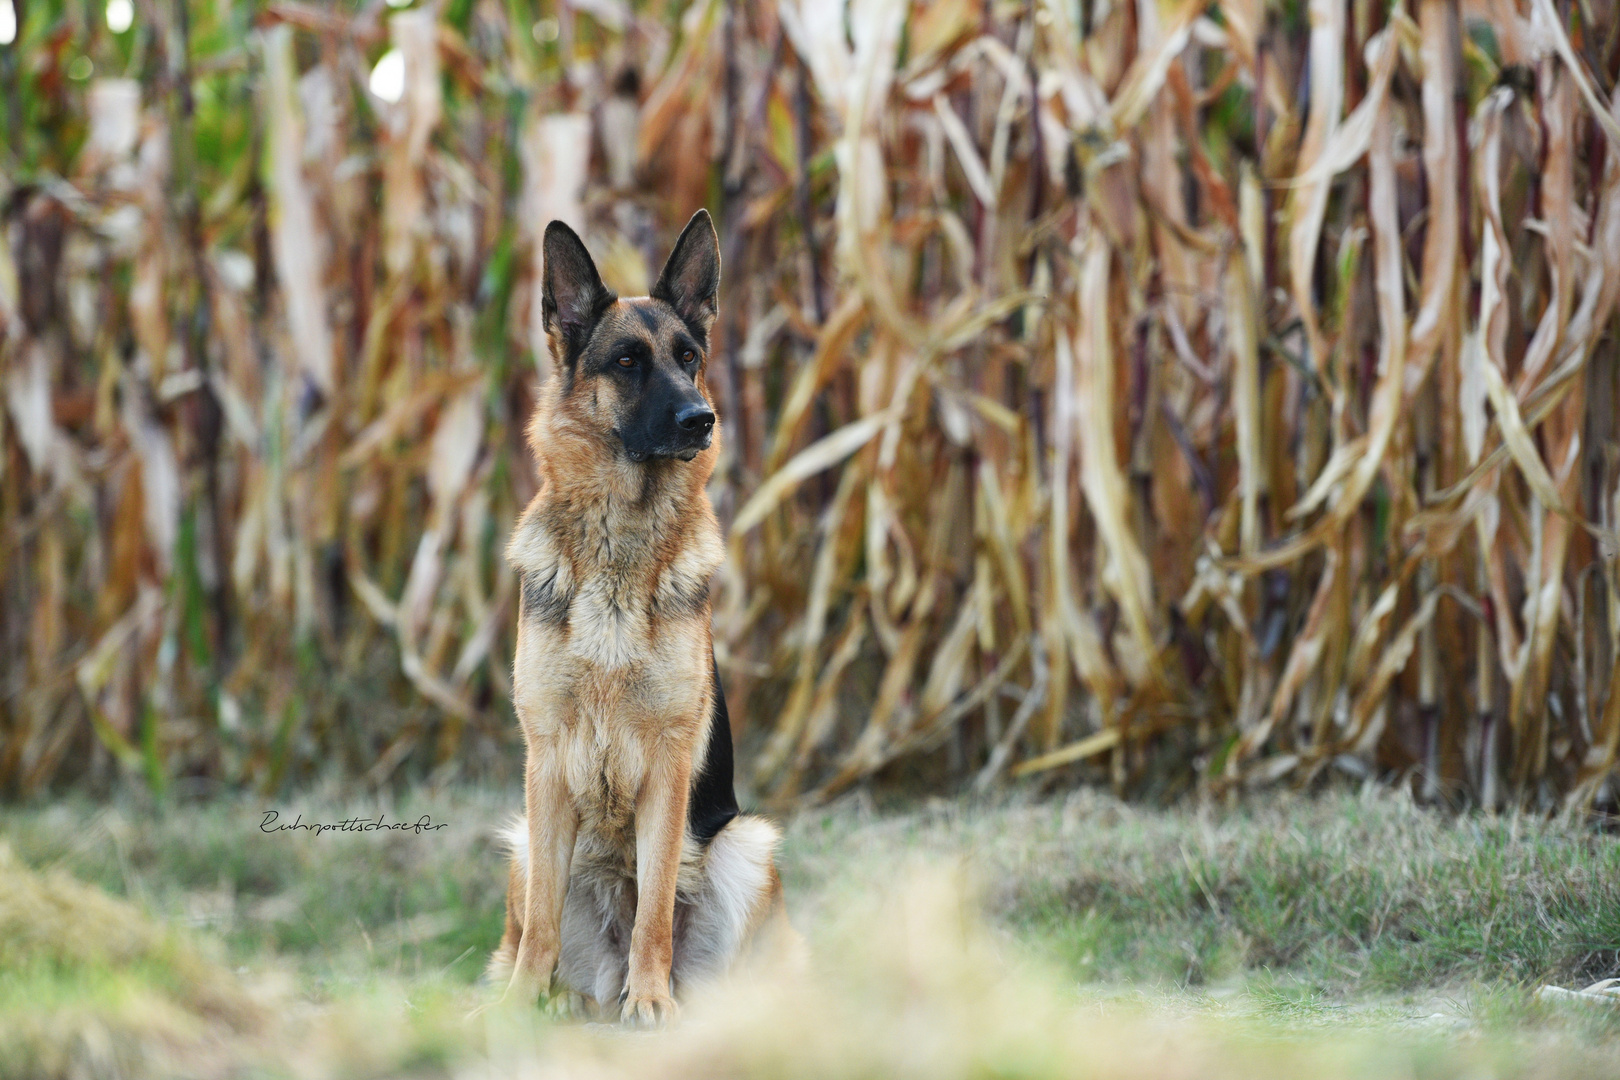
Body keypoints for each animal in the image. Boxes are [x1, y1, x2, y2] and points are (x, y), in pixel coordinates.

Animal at [489, 208, 800, 1023]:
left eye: (689, 357)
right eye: (628, 362)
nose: (702, 419)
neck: (618, 554)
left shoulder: (668, 763)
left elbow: (655, 903)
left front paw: (651, 1002)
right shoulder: (547, 761)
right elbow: (541, 924)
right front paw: (518, 1002)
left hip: (748, 845)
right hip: (524, 844)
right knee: (536, 932)